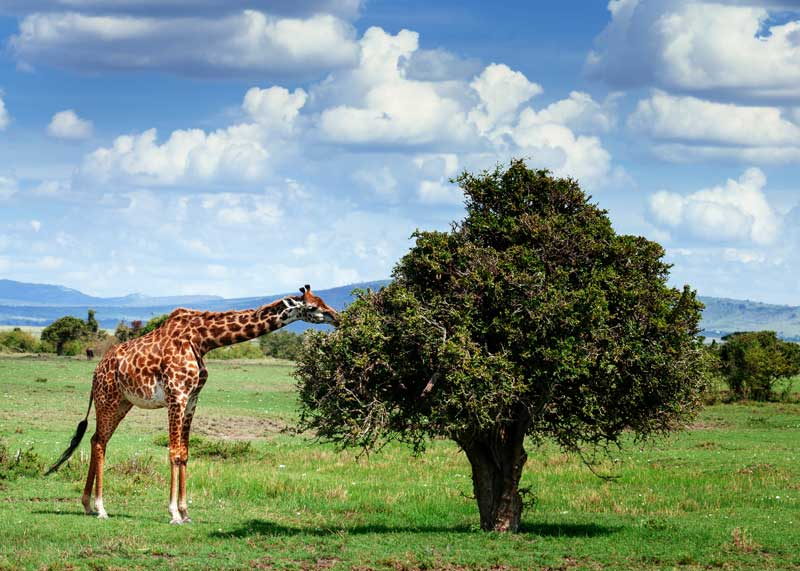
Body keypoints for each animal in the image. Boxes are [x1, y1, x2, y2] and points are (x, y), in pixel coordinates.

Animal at [46, 285, 338, 524]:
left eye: (323, 300)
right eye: (312, 306)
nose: (337, 317)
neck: (203, 340)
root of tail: (96, 371)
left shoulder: (193, 400)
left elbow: (185, 454)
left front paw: (186, 512)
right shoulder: (176, 396)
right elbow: (174, 453)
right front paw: (174, 513)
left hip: (122, 403)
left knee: (98, 440)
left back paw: (87, 505)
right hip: (107, 399)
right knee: (99, 442)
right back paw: (101, 508)